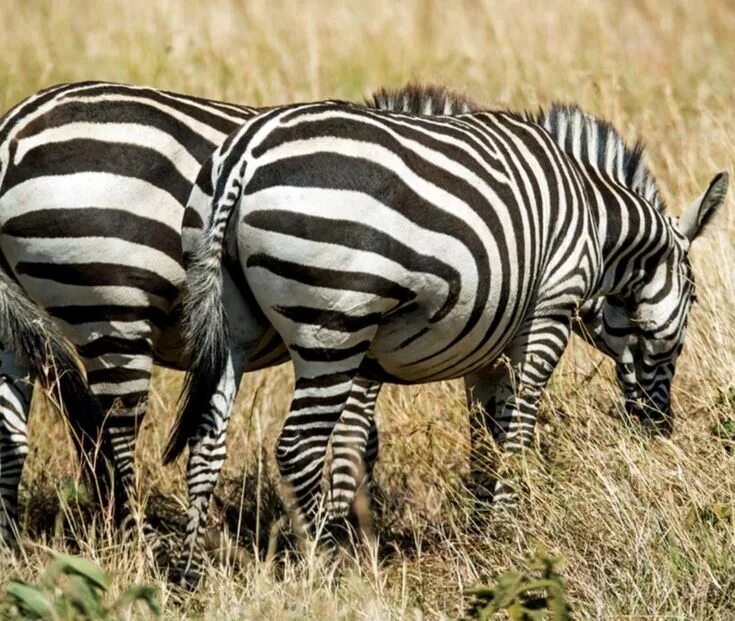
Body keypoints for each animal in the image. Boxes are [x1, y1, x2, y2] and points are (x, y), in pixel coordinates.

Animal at [171, 89, 732, 580]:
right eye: (695, 301)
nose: (660, 428)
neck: (597, 224)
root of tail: (244, 155)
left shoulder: (489, 344)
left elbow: (487, 435)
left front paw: (486, 528)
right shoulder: (548, 312)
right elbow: (520, 428)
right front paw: (512, 527)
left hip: (232, 322)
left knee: (208, 437)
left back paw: (193, 572)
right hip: (335, 324)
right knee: (299, 446)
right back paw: (331, 566)